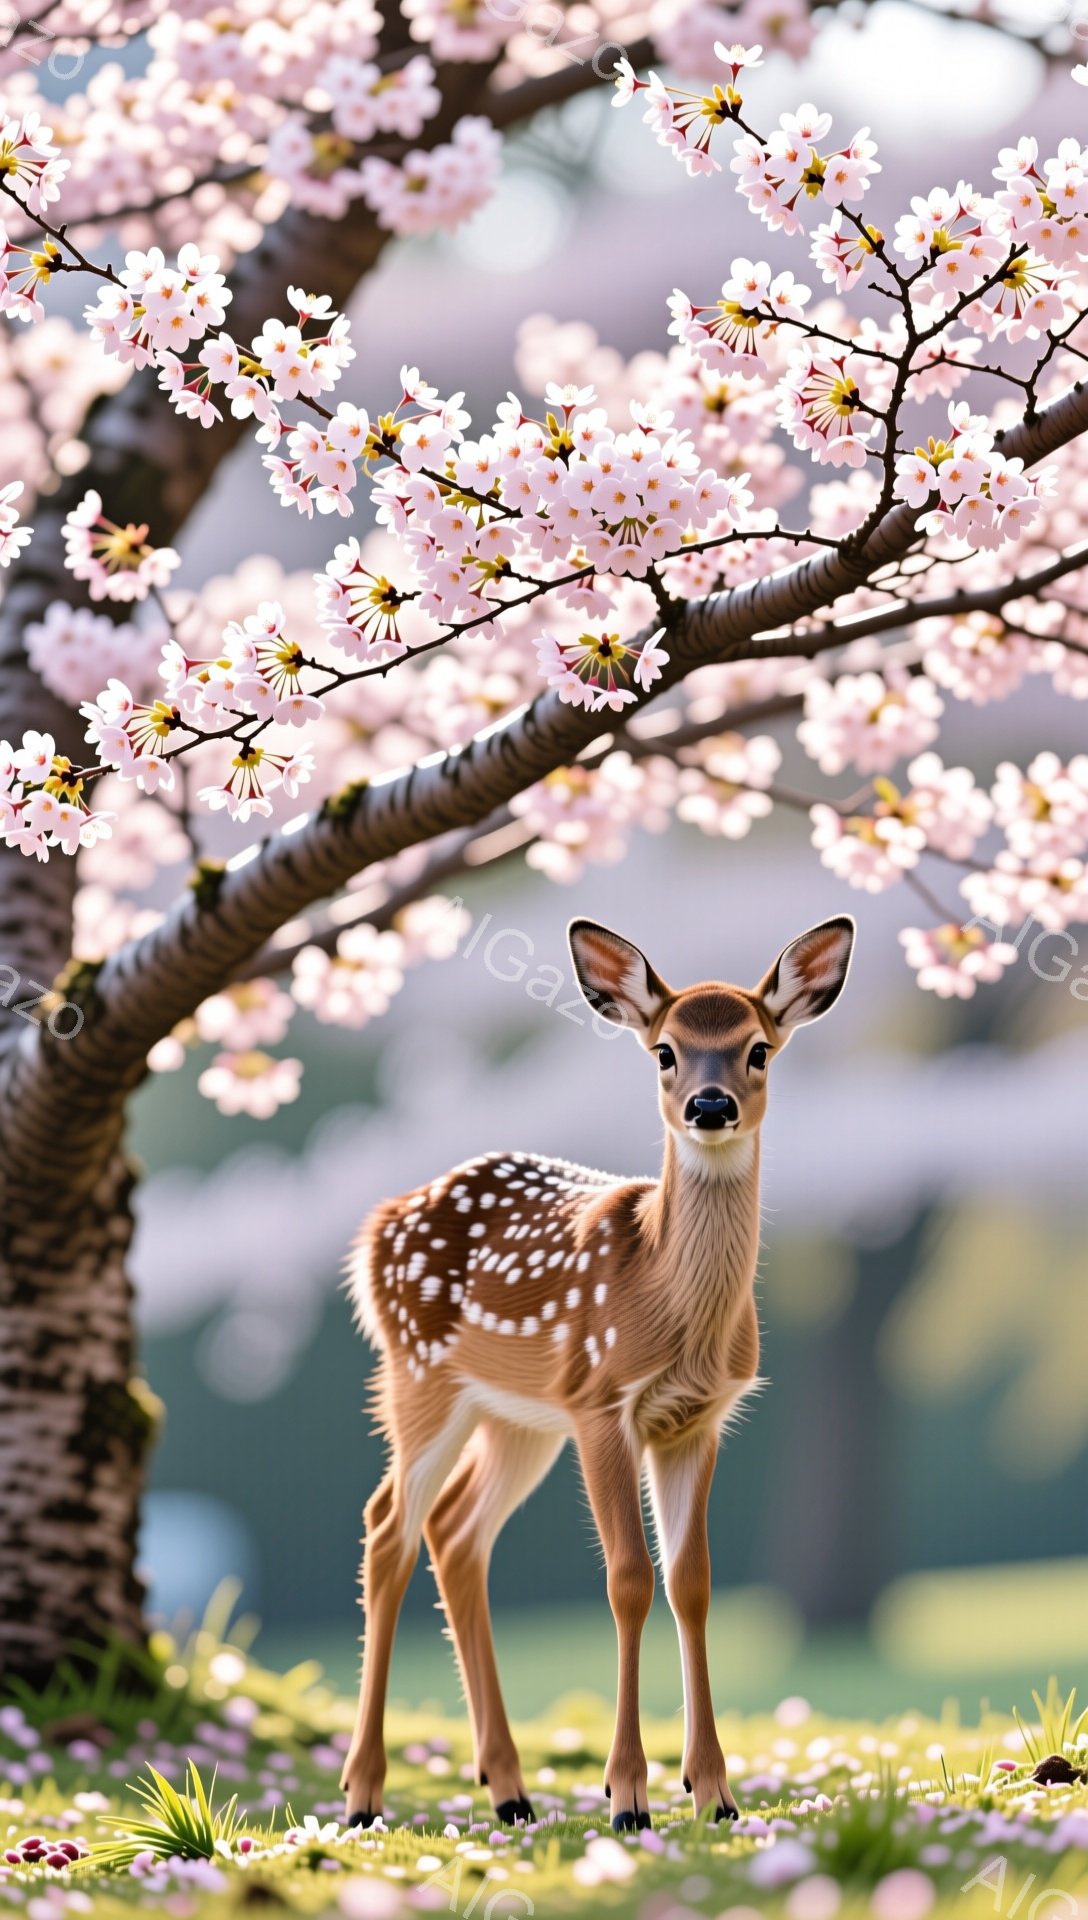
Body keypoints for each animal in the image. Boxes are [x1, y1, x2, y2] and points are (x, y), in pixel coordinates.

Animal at [341, 912, 855, 1834]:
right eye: (665, 1051)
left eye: (759, 1049)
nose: (711, 1106)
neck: (667, 1302)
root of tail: (375, 1231)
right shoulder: (600, 1403)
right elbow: (627, 1580)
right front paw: (628, 1798)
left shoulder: (696, 1420)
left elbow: (692, 1582)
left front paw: (714, 1792)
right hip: (421, 1378)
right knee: (387, 1526)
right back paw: (364, 1794)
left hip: (515, 1419)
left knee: (456, 1533)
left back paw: (508, 1789)